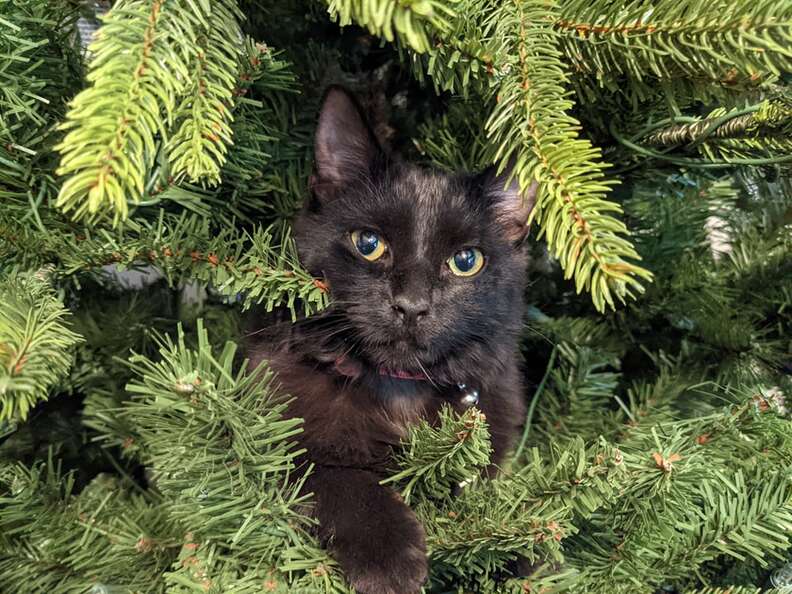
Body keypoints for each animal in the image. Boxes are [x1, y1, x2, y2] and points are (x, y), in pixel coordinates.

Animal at [251, 86, 536, 592]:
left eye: (466, 261)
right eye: (369, 244)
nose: (411, 305)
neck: (399, 389)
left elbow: (482, 501)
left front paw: (517, 553)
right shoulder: (275, 428)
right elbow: (336, 474)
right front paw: (387, 559)